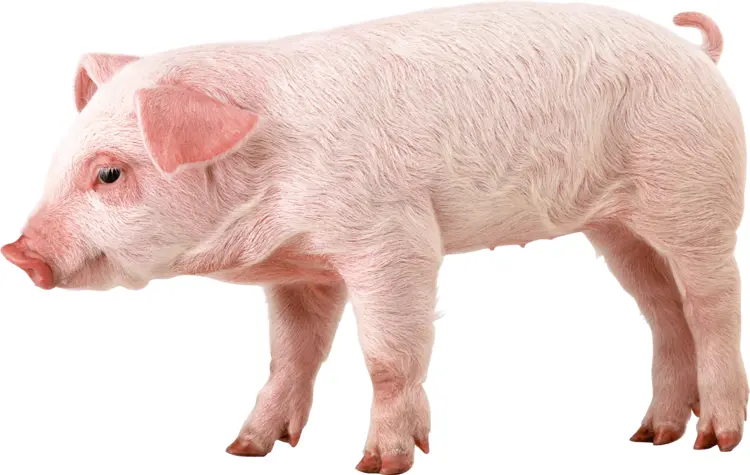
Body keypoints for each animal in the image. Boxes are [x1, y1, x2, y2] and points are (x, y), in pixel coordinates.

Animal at [2, 2, 747, 474]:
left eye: (109, 173)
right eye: (59, 158)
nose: (18, 252)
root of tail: (698, 55)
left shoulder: (394, 239)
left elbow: (388, 354)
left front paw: (378, 464)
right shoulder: (300, 269)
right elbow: (290, 355)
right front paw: (243, 450)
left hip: (697, 199)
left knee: (713, 305)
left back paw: (714, 441)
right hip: (618, 230)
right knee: (664, 312)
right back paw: (650, 437)